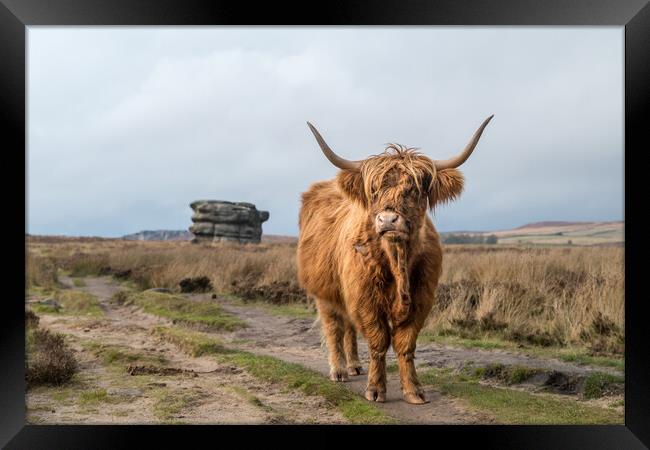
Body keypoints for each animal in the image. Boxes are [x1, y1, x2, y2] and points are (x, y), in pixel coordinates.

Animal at [294, 116, 492, 404]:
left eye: (414, 189)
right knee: (334, 327)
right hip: (324, 292)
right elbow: (378, 340)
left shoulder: (422, 298)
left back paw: (354, 366)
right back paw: (339, 370)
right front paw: (375, 389)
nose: (387, 220)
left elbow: (405, 342)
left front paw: (413, 390)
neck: (397, 261)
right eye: (374, 190)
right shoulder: (364, 297)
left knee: (349, 328)